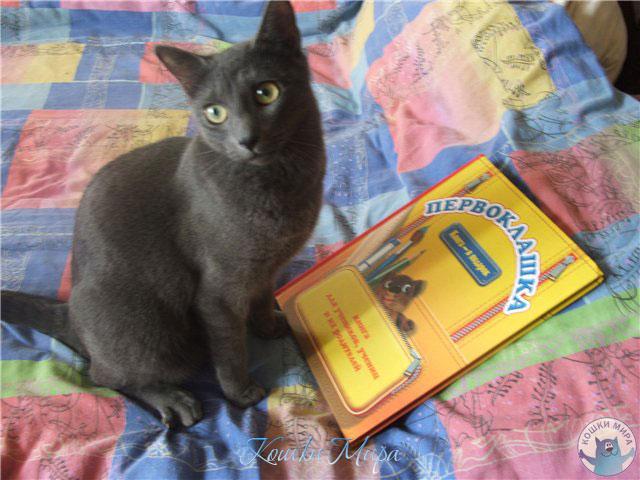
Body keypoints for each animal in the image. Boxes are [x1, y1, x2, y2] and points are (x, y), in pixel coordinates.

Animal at [0, 1, 326, 428]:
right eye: (215, 113)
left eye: (266, 92)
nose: (246, 139)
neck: (279, 182)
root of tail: (70, 313)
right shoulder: (218, 291)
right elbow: (230, 347)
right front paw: (241, 394)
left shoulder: (265, 269)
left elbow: (260, 300)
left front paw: (271, 325)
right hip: (147, 330)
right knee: (105, 375)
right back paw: (174, 400)